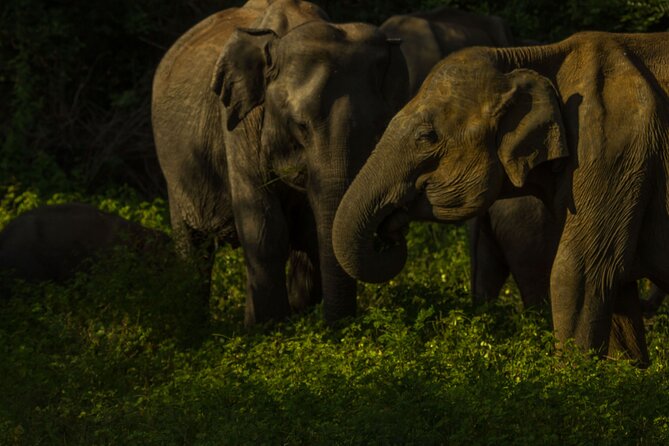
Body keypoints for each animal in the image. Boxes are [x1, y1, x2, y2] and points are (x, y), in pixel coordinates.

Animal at [152, 0, 410, 326]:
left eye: (379, 125)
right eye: (300, 125)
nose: (394, 227)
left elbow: (310, 232)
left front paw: (296, 322)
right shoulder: (239, 123)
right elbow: (263, 227)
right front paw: (268, 330)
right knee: (193, 246)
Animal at [333, 31, 669, 364]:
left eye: (426, 137)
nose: (390, 231)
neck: (532, 58)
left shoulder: (612, 153)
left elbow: (581, 272)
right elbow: (615, 286)